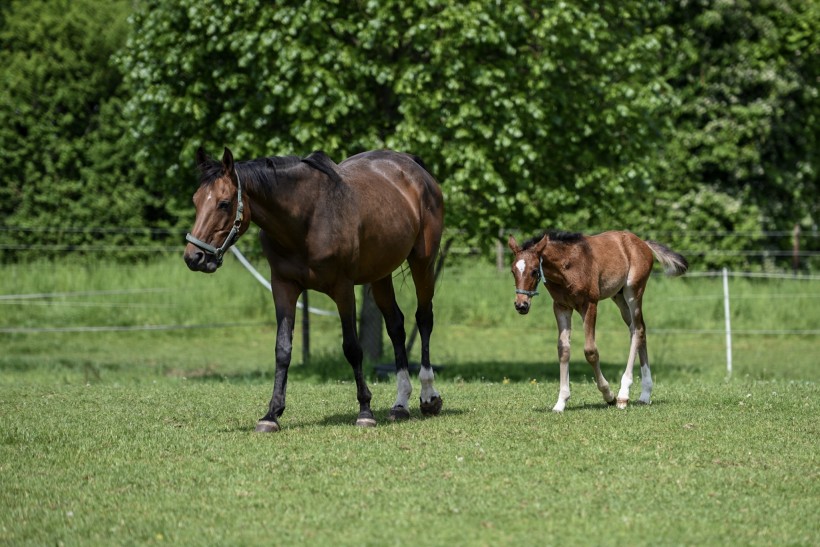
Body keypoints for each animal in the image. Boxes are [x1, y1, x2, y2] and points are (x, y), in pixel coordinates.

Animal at [185, 146, 446, 432]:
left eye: (224, 203)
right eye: (196, 201)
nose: (194, 257)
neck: (306, 219)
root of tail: (413, 167)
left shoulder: (343, 289)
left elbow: (352, 348)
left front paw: (365, 410)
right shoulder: (283, 287)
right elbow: (282, 349)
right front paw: (271, 414)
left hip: (423, 261)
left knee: (424, 318)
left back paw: (428, 397)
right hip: (381, 274)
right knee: (396, 327)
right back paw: (400, 404)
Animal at [506, 230, 684, 412]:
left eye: (535, 271)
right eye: (513, 271)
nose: (521, 305)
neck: (566, 267)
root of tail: (643, 243)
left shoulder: (590, 304)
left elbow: (590, 351)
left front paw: (609, 395)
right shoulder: (561, 306)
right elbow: (563, 349)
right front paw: (561, 402)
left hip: (633, 291)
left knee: (637, 330)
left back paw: (623, 395)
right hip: (619, 296)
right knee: (639, 329)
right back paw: (645, 394)